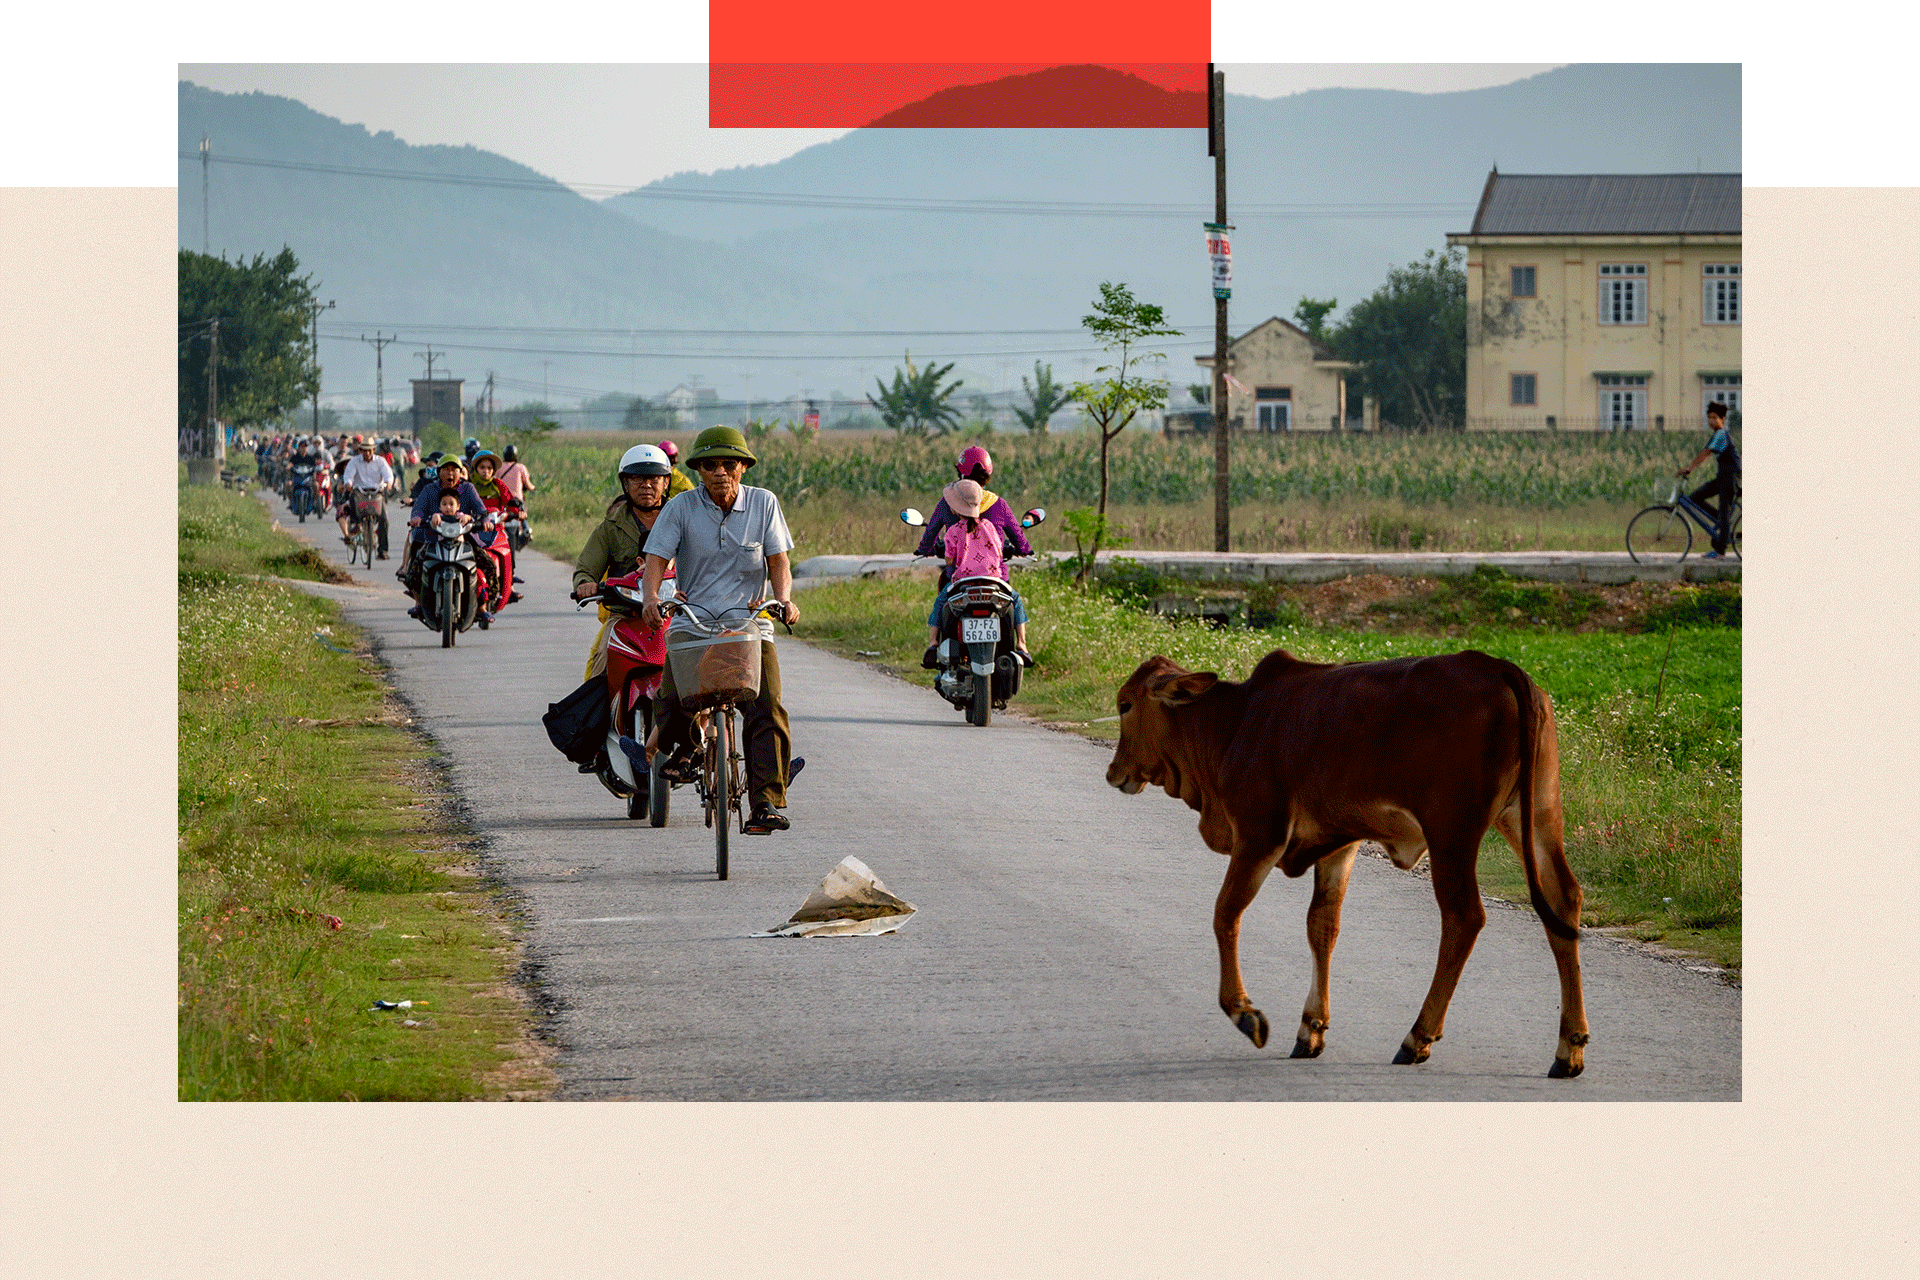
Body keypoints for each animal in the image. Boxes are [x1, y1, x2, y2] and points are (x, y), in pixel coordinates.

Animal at [1113, 644, 1589, 1074]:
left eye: (1125, 705)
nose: (1113, 773)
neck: (1235, 723)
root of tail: (1501, 667)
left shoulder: (1259, 834)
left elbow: (1225, 914)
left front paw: (1244, 1013)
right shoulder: (1339, 843)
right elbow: (1322, 927)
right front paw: (1311, 1029)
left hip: (1452, 832)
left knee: (1464, 917)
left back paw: (1417, 1037)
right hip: (1536, 815)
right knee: (1563, 901)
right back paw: (1569, 1048)